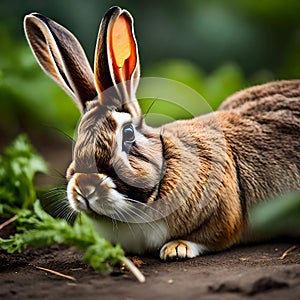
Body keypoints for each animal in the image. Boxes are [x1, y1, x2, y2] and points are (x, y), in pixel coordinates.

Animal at [24, 6, 300, 260]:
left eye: (127, 134)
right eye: (77, 140)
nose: (84, 186)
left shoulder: (223, 215)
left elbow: (212, 236)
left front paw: (176, 249)